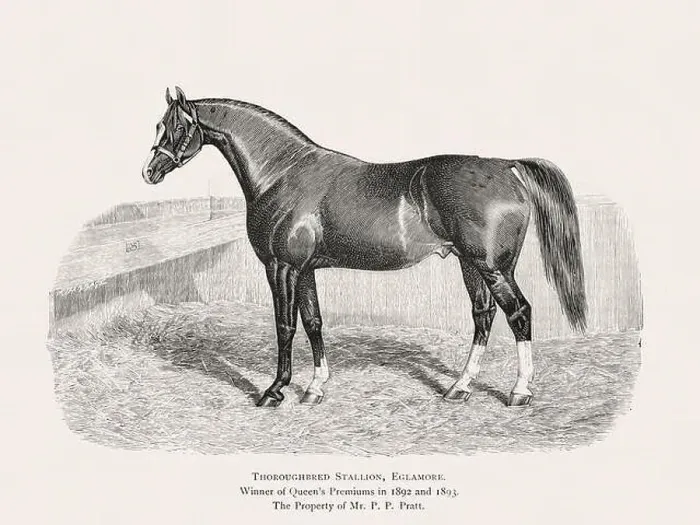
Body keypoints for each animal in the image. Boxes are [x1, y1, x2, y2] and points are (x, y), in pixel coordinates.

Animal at [142, 86, 587, 408]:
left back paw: (520, 392)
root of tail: (504, 165)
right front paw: (315, 388)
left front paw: (274, 390)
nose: (149, 172)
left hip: (493, 267)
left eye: (176, 126)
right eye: (159, 125)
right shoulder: (306, 269)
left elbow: (285, 326)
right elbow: (313, 323)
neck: (283, 172)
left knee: (519, 313)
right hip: (469, 264)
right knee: (483, 315)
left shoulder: (281, 267)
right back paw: (459, 388)